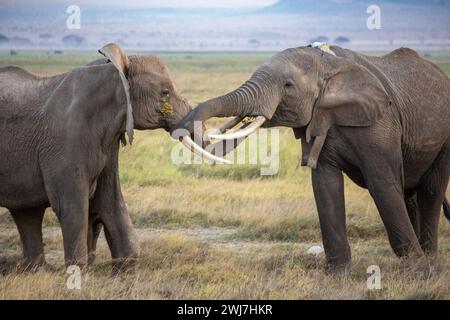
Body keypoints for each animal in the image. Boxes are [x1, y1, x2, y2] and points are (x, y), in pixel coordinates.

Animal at [0, 42, 197, 272]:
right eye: (165, 92)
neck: (113, 70)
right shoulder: (66, 141)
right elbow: (71, 205)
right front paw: (78, 271)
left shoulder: (108, 143)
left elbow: (110, 199)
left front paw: (123, 269)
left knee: (27, 213)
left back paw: (36, 271)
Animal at [176, 46, 450, 274]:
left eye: (288, 85)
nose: (193, 131)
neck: (327, 64)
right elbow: (326, 186)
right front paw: (337, 275)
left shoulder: (381, 125)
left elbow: (382, 184)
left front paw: (417, 271)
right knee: (410, 193)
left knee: (431, 191)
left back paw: (429, 261)